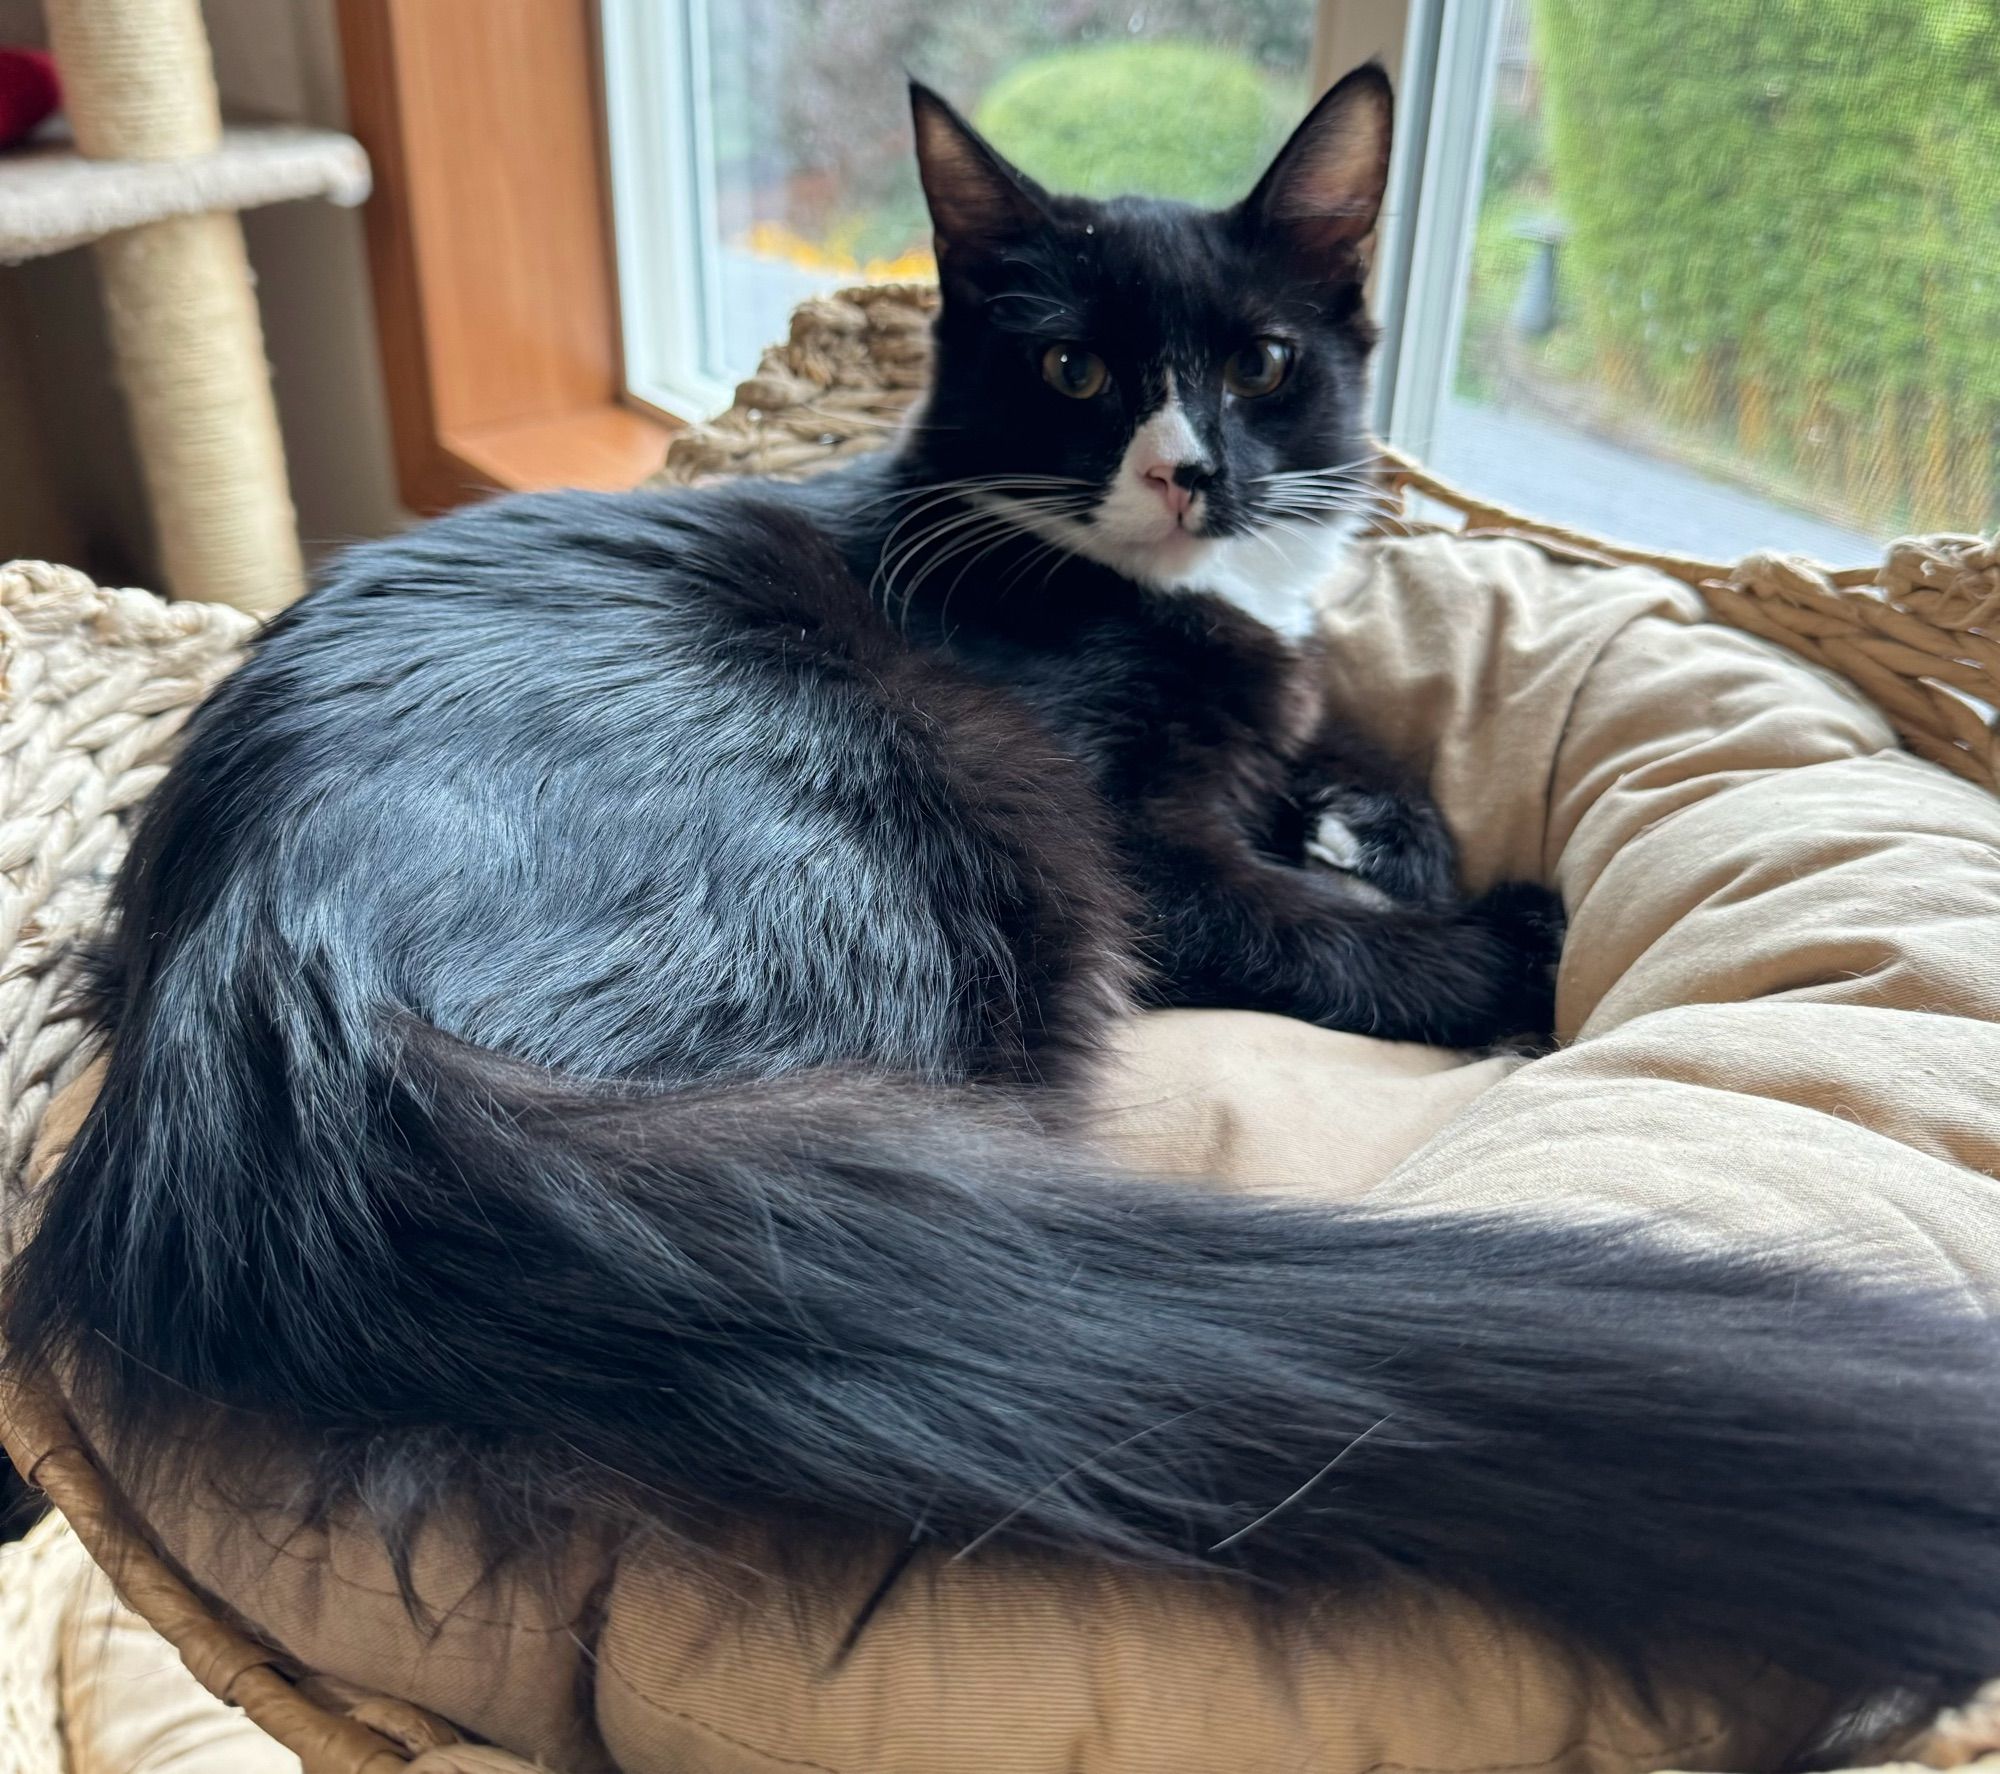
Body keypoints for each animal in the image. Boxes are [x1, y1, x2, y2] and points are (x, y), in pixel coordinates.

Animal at [11, 69, 2000, 1720]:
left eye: (1261, 362)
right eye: (1073, 375)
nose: (1194, 470)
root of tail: (284, 1002)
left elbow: (1358, 753)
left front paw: (1377, 816)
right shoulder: (1137, 843)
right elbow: (1300, 918)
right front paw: (1498, 935)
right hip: (982, 844)